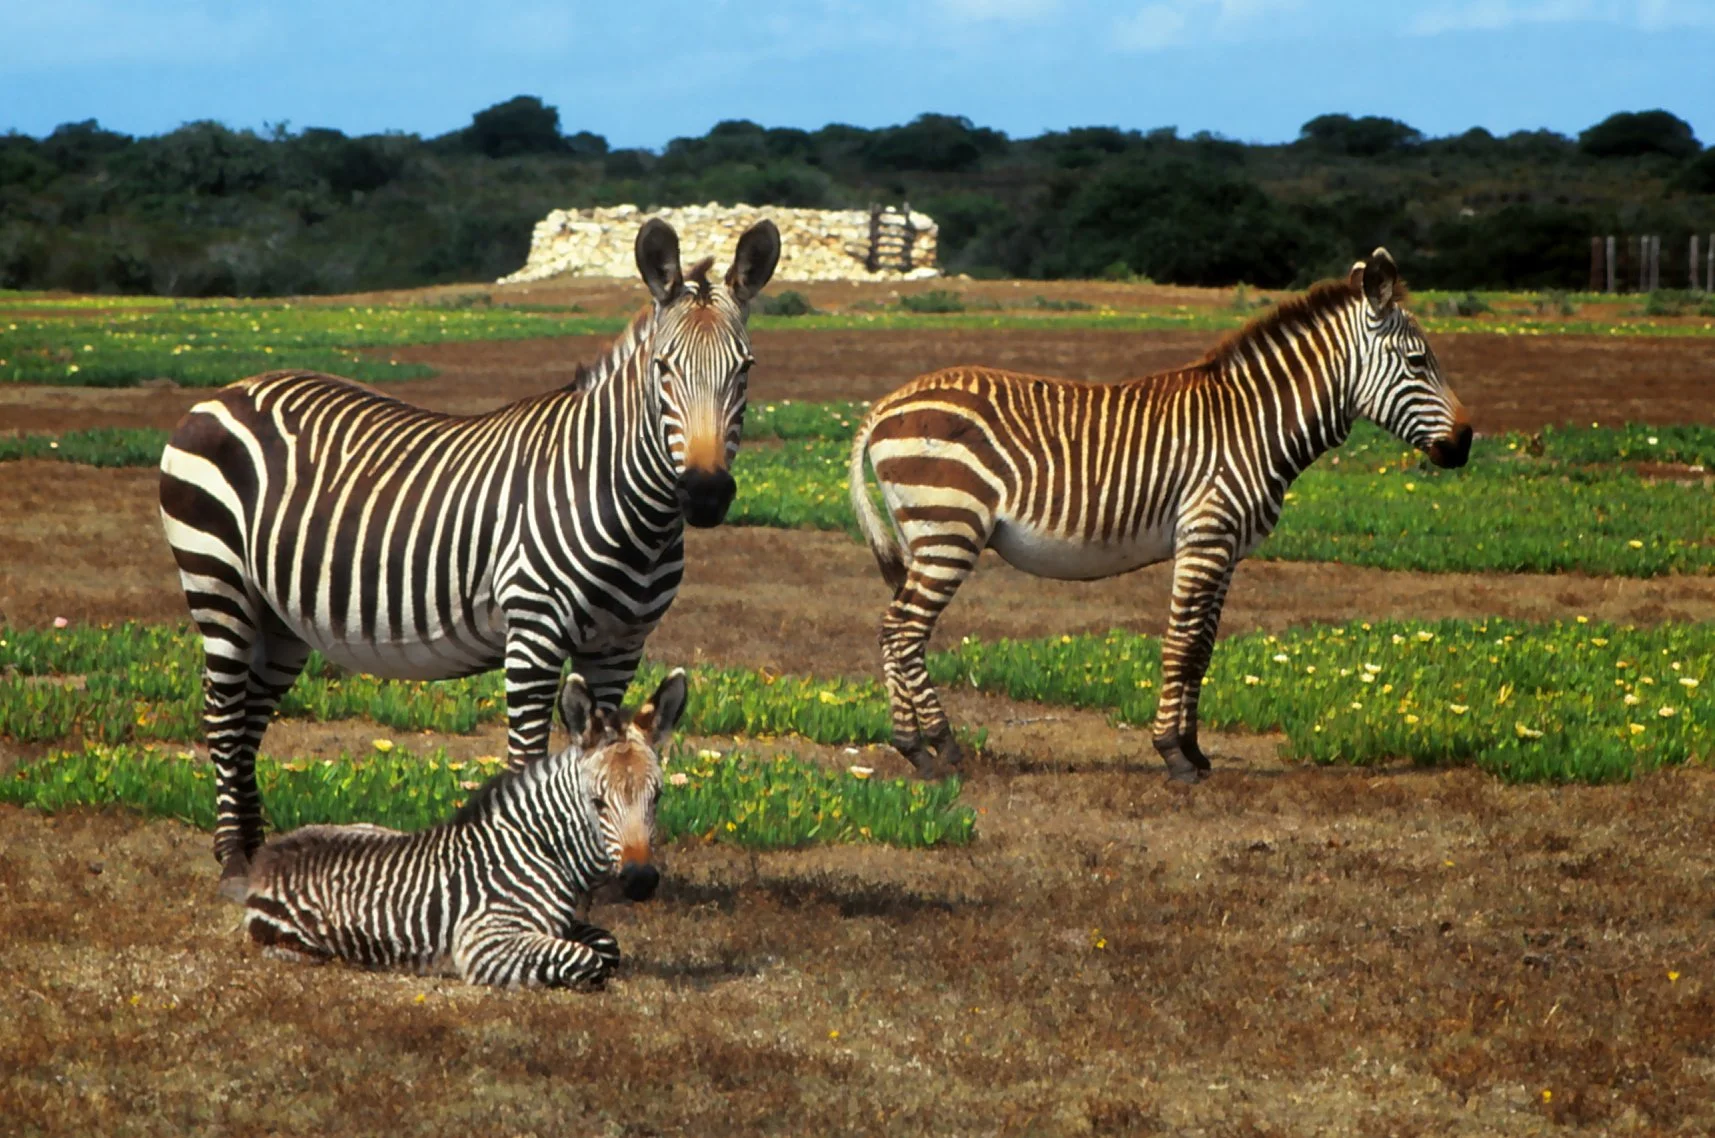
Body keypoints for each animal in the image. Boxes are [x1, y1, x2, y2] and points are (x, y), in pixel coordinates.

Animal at [159, 218, 778, 891]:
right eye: (664, 369)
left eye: (745, 369)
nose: (707, 493)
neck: (628, 507)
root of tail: (228, 392)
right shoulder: (534, 632)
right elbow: (527, 756)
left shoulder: (621, 643)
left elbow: (609, 749)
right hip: (218, 582)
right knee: (223, 716)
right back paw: (232, 860)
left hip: (280, 617)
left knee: (249, 720)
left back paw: (254, 852)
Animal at [243, 669, 683, 987]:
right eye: (597, 802)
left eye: (658, 797)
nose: (641, 880)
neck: (539, 847)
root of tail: (266, 860)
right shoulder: (485, 940)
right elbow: (587, 957)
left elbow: (607, 943)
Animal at [847, 249, 1471, 781]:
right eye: (1418, 362)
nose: (1465, 443)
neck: (1254, 425)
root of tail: (885, 404)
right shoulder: (1205, 536)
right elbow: (1183, 645)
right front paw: (1173, 754)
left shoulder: (1225, 547)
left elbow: (1203, 650)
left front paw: (1194, 751)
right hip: (949, 528)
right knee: (902, 630)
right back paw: (937, 748)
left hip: (926, 535)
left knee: (897, 631)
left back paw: (915, 747)